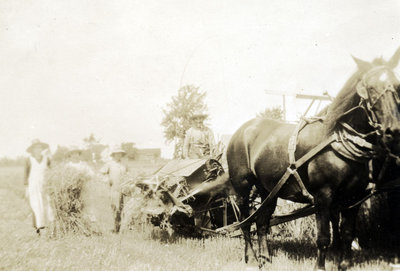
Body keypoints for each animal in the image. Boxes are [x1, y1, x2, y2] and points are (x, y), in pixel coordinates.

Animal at [227, 49, 400, 271]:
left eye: (397, 86)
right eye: (370, 88)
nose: (392, 130)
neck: (337, 140)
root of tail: (243, 129)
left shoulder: (354, 198)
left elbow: (347, 233)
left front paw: (344, 264)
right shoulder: (323, 196)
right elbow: (324, 237)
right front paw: (320, 266)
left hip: (268, 189)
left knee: (262, 222)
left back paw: (265, 258)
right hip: (242, 187)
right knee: (246, 222)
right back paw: (251, 257)